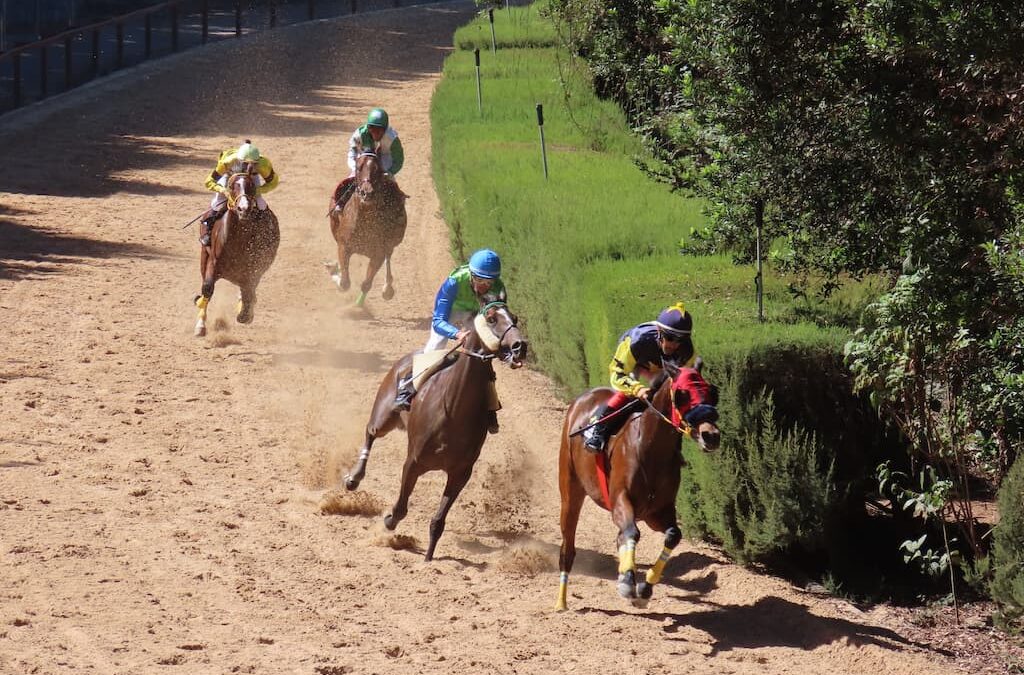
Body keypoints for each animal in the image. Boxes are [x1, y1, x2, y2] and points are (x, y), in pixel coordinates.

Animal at [192, 169, 278, 338]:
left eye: (251, 186)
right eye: (232, 186)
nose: (243, 208)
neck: (238, 239)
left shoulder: (254, 268)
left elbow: (248, 291)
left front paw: (245, 313)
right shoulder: (213, 262)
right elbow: (207, 288)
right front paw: (200, 325)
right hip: (204, 256)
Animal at [327, 151, 407, 307]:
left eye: (378, 169)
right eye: (359, 167)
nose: (367, 193)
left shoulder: (378, 254)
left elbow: (366, 284)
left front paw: (358, 305)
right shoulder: (344, 246)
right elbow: (344, 282)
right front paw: (334, 272)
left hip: (391, 243)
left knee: (388, 259)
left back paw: (387, 288)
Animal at [344, 303, 528, 561]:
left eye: (515, 318)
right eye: (492, 319)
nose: (520, 346)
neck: (454, 409)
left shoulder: (461, 473)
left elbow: (438, 520)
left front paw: (429, 557)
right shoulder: (413, 462)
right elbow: (400, 509)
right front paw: (388, 521)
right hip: (384, 416)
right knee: (370, 433)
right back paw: (354, 478)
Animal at [557, 364, 724, 614]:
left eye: (712, 392)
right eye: (682, 393)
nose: (711, 435)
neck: (650, 449)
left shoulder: (656, 512)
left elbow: (673, 535)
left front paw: (644, 589)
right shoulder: (619, 501)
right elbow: (632, 532)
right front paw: (627, 583)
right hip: (571, 489)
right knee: (568, 547)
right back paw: (561, 602)